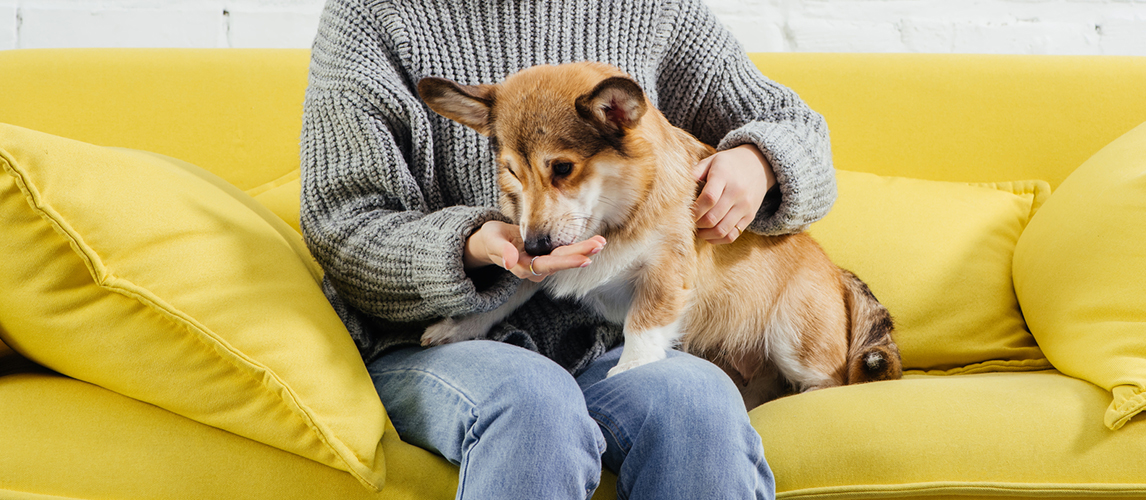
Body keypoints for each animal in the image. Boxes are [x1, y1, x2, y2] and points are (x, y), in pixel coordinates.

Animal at [417, 62, 898, 405]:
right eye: (512, 173)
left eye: (563, 168)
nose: (534, 246)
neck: (615, 215)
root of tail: (838, 273)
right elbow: (504, 295)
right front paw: (456, 328)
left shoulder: (665, 271)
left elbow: (643, 324)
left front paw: (631, 368)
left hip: (793, 340)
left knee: (834, 382)